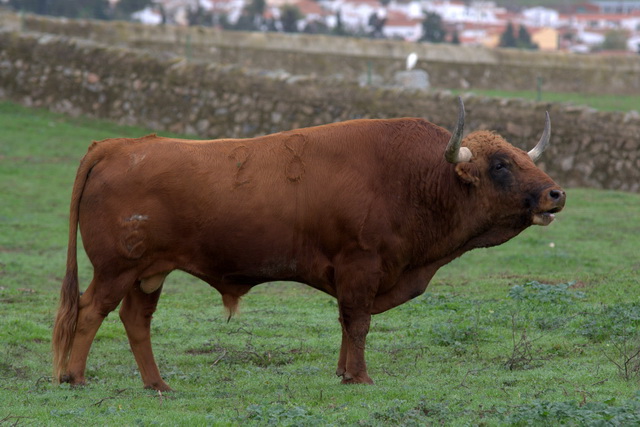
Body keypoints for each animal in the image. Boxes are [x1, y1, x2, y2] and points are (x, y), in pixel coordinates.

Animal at [53, 98, 564, 392]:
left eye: (518, 157)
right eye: (500, 165)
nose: (555, 194)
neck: (413, 176)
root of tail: (120, 145)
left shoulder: (353, 276)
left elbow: (345, 323)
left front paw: (342, 372)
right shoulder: (361, 266)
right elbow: (358, 323)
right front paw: (360, 376)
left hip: (149, 274)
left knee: (135, 320)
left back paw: (157, 384)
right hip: (116, 269)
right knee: (91, 311)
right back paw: (73, 377)